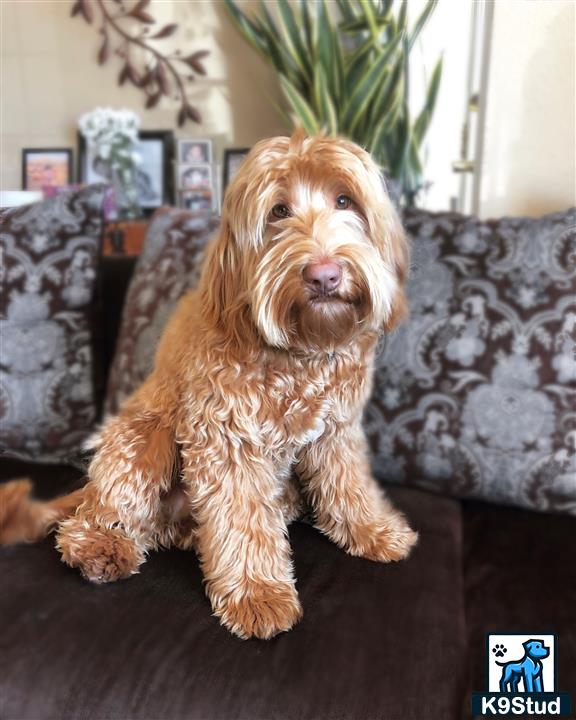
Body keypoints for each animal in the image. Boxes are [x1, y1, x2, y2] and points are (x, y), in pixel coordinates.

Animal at [0, 132, 416, 640]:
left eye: (345, 200)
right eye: (278, 211)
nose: (324, 274)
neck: (299, 351)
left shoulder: (338, 429)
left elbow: (349, 483)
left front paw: (374, 529)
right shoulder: (228, 438)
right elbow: (239, 516)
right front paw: (258, 594)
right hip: (143, 438)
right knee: (94, 519)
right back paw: (102, 547)